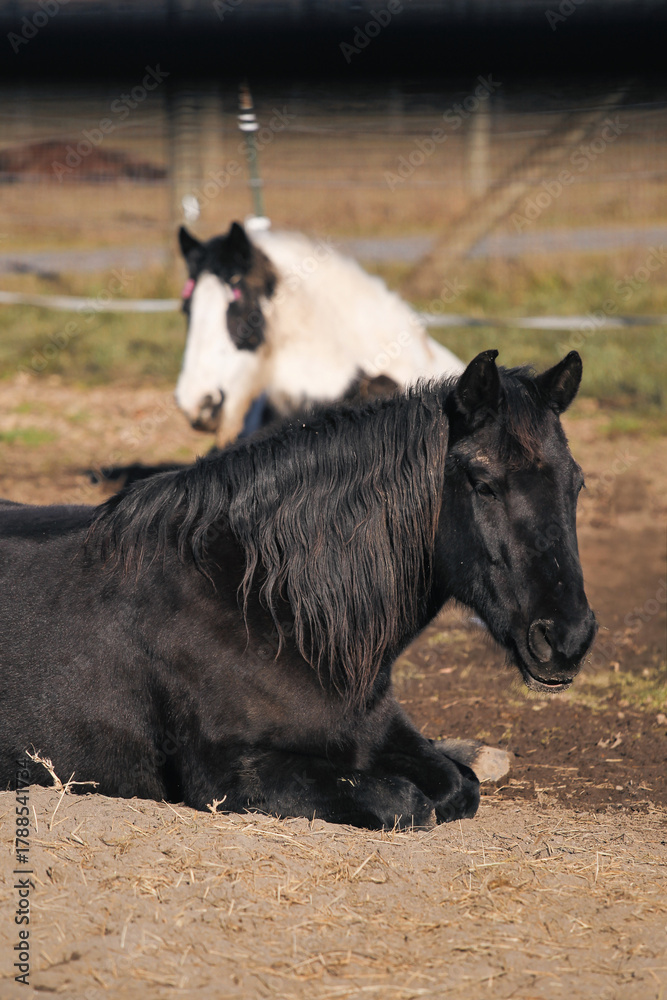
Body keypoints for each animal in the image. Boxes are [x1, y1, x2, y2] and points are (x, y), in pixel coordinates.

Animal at [0, 350, 596, 829]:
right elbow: (405, 802)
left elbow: (459, 785)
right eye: (483, 484)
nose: (567, 637)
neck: (264, 604)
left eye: (577, 483)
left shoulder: (378, 733)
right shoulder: (231, 775)